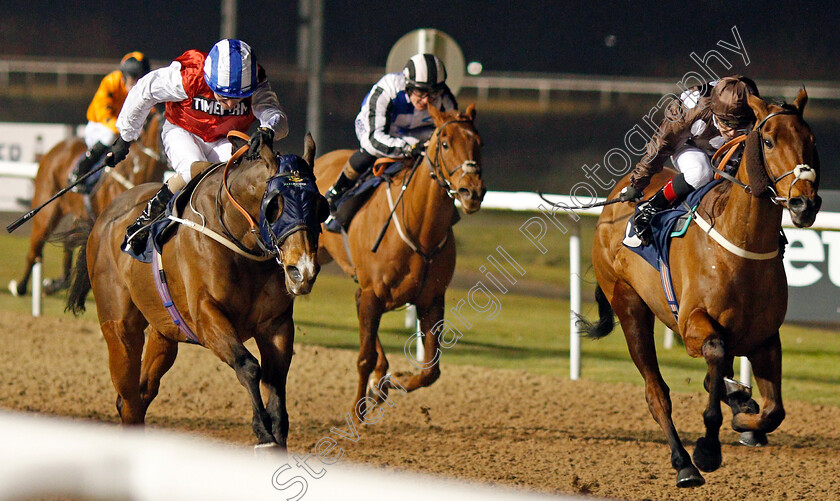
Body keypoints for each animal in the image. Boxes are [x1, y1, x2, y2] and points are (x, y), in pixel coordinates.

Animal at [9, 109, 167, 294]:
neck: (136, 170)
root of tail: (55, 148)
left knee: (67, 242)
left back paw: (55, 283)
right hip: (47, 213)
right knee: (36, 248)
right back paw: (20, 286)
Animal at [65, 134, 328, 450]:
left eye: (320, 204)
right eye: (274, 204)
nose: (303, 270)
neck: (234, 234)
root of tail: (102, 220)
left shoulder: (275, 324)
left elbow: (275, 378)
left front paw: (276, 430)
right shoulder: (206, 317)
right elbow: (249, 366)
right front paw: (263, 432)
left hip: (164, 333)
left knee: (141, 394)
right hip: (119, 327)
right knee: (127, 397)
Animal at [314, 104, 486, 422]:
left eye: (478, 143)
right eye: (445, 144)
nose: (472, 192)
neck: (420, 230)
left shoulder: (431, 299)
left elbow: (431, 369)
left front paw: (395, 380)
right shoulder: (374, 292)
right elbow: (365, 356)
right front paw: (358, 410)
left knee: (358, 304)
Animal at [584, 88, 820, 486]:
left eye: (811, 140)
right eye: (769, 141)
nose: (805, 203)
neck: (740, 245)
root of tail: (611, 206)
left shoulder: (765, 339)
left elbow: (774, 410)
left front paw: (745, 417)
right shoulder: (692, 325)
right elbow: (714, 354)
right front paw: (708, 448)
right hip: (629, 305)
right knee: (656, 393)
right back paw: (684, 463)